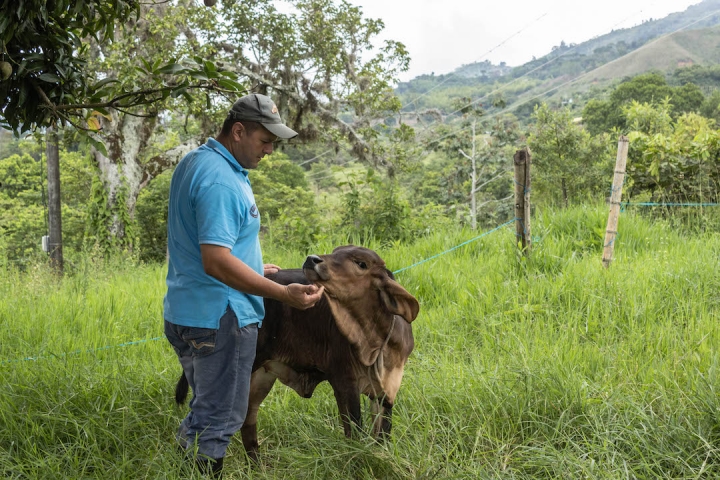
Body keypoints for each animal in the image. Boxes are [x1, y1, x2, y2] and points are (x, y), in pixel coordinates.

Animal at [176, 246, 422, 460]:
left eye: (361, 263)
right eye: (336, 251)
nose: (312, 259)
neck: (374, 341)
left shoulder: (386, 391)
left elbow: (382, 435)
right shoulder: (344, 383)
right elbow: (354, 431)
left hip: (263, 374)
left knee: (248, 417)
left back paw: (256, 463)